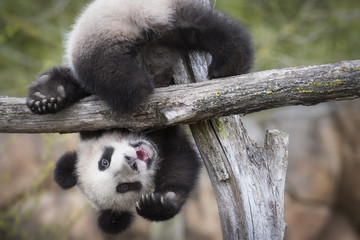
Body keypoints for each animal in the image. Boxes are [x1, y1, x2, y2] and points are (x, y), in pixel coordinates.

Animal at [24, 0, 253, 234]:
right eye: (124, 187)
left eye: (104, 161)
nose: (131, 160)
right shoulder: (163, 135)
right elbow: (181, 160)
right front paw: (160, 203)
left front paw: (47, 95)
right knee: (204, 28)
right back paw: (232, 62)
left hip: (99, 33)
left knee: (103, 74)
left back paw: (49, 93)